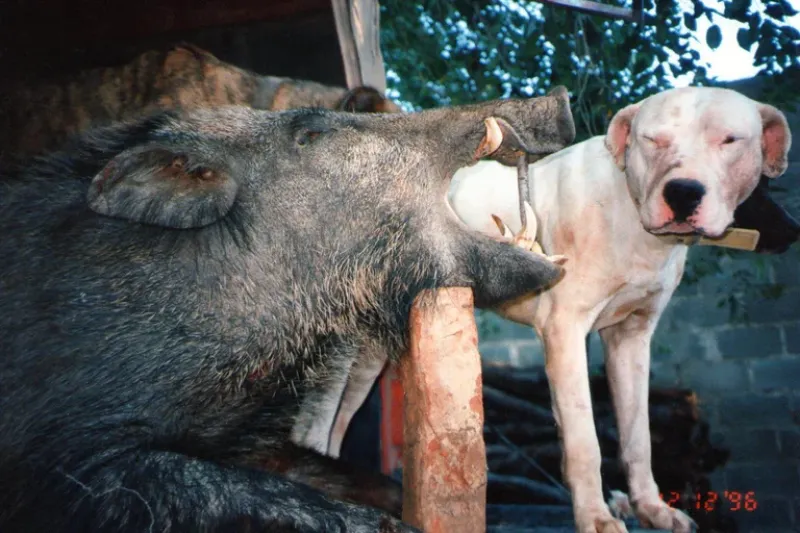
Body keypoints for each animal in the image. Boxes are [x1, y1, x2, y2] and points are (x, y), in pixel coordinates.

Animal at [294, 87, 792, 532]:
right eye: (654, 140)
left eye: (729, 140)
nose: (684, 193)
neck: (628, 208)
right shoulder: (564, 333)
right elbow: (585, 441)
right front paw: (596, 518)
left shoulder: (630, 338)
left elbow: (637, 437)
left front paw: (651, 509)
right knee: (312, 421)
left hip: (370, 354)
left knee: (339, 421)